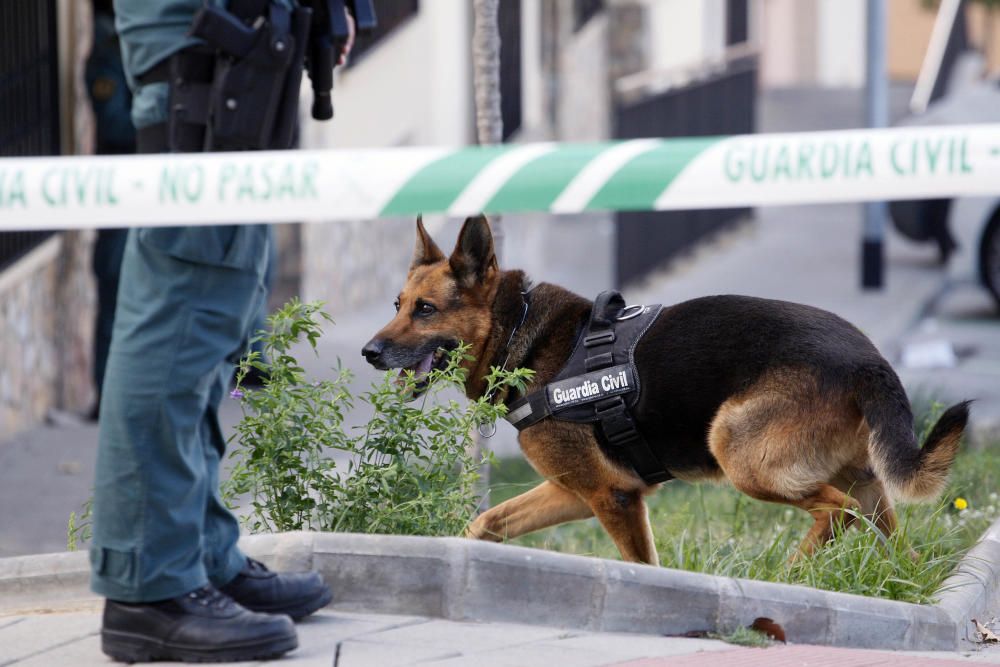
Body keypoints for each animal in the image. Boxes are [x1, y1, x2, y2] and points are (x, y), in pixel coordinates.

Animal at [364, 214, 972, 564]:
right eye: (396, 304)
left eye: (425, 310)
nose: (369, 352)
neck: (520, 330)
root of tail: (868, 359)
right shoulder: (578, 492)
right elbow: (485, 522)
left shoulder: (612, 497)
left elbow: (642, 568)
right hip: (866, 484)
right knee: (887, 539)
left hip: (736, 450)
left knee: (837, 513)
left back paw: (794, 573)